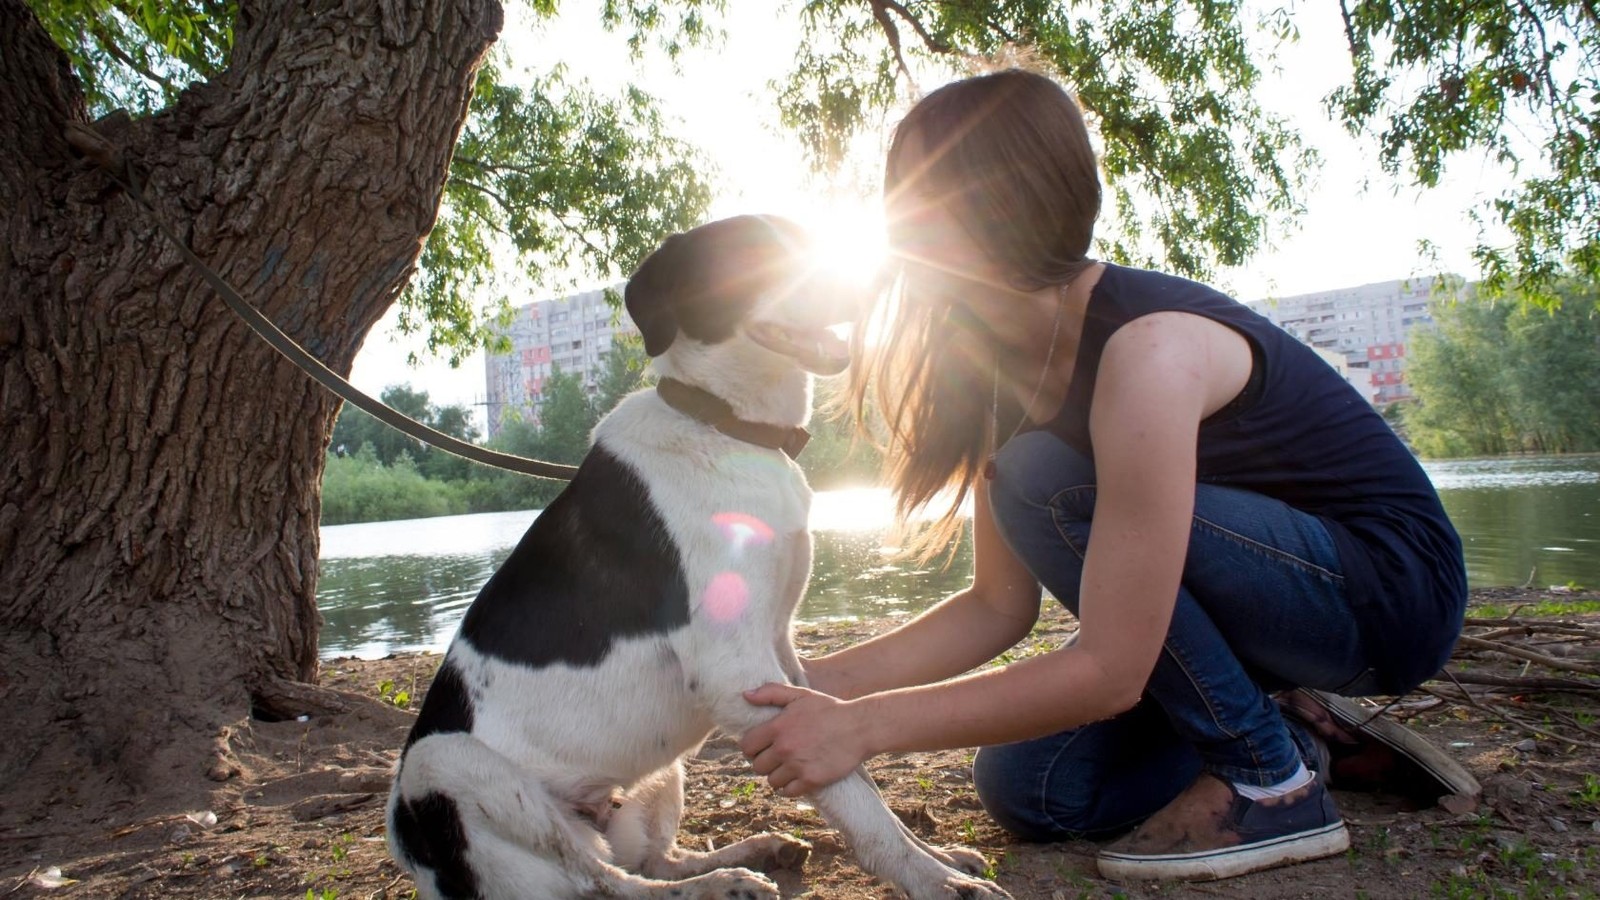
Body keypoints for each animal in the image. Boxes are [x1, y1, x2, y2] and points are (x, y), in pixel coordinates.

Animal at [384, 217, 1011, 896]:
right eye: (751, 253)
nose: (875, 279)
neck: (728, 425)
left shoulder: (783, 652)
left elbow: (855, 769)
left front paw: (936, 855)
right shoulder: (736, 668)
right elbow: (855, 797)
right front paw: (934, 881)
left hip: (657, 779)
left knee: (652, 861)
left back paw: (750, 857)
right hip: (443, 764)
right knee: (612, 885)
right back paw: (723, 880)